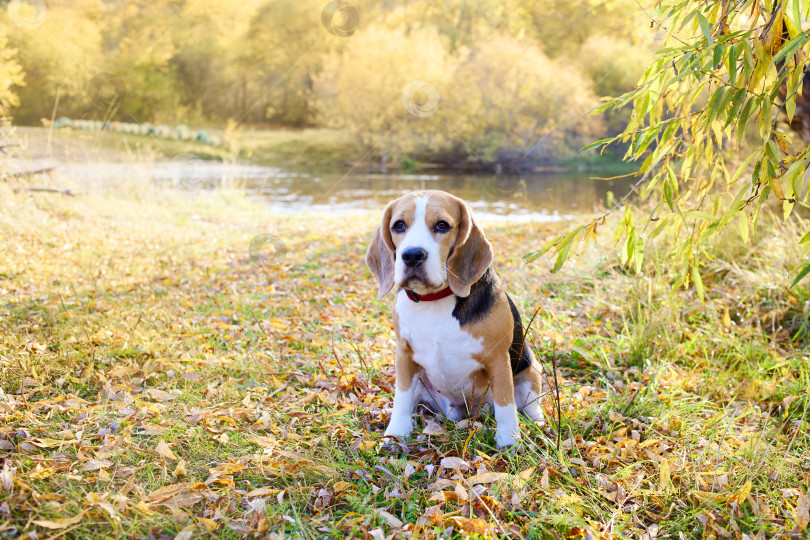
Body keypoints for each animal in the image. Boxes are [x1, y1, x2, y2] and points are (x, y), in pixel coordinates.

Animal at [366, 190, 544, 448]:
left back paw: (538, 422)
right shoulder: (404, 355)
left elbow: (505, 402)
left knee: (530, 406)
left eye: (442, 225)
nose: (412, 255)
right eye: (399, 225)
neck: (434, 300)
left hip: (531, 370)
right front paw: (396, 434)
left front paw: (508, 440)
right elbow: (401, 398)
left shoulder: (498, 359)